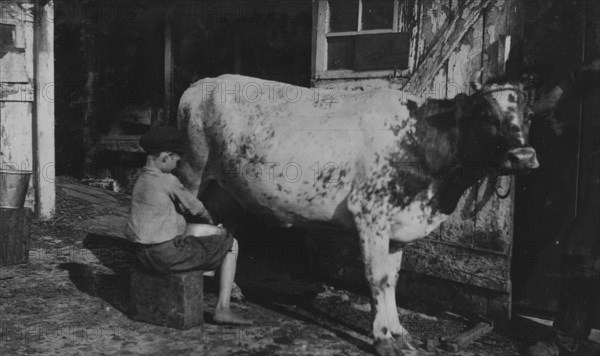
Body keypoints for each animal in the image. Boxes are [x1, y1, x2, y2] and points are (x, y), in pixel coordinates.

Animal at [175, 70, 576, 356]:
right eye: (485, 113)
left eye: (528, 115)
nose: (523, 156)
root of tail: (202, 83)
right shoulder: (371, 214)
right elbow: (377, 278)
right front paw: (383, 338)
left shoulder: (399, 225)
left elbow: (393, 280)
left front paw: (399, 331)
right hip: (192, 173)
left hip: (226, 190)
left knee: (224, 231)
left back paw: (231, 296)